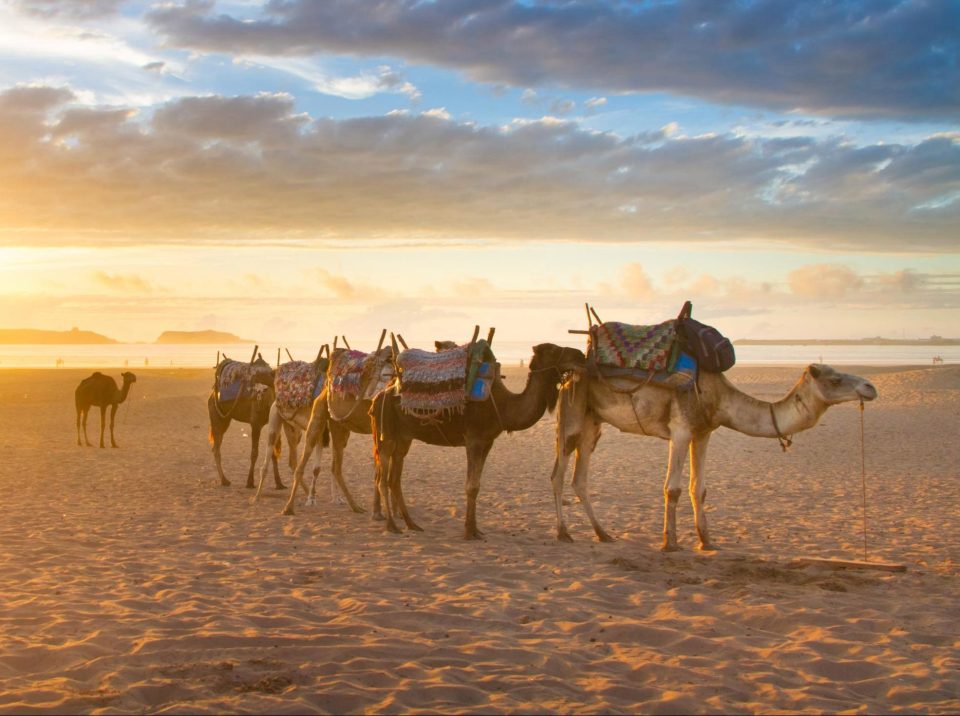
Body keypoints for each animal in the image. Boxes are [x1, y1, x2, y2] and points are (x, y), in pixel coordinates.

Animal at [205, 354, 276, 490]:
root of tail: (212, 394)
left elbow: (273, 452)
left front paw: (280, 484)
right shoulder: (256, 424)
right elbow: (254, 453)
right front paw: (250, 482)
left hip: (225, 419)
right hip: (217, 417)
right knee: (216, 448)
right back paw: (224, 480)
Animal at [264, 338, 396, 516]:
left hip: (334, 426)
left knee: (333, 466)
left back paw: (355, 506)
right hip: (315, 421)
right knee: (303, 463)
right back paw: (288, 507)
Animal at [374, 342, 584, 536]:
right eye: (553, 350)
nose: (580, 355)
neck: (504, 406)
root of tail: (379, 396)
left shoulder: (487, 442)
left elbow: (477, 485)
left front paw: (475, 529)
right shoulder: (473, 440)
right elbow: (471, 485)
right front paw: (469, 531)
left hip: (404, 437)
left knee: (394, 479)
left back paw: (412, 524)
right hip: (387, 434)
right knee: (382, 479)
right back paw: (392, 525)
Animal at [548, 360, 876, 552]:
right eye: (834, 379)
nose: (870, 387)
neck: (720, 398)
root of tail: (567, 376)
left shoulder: (703, 432)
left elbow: (699, 488)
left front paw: (707, 541)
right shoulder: (681, 428)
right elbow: (673, 488)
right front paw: (670, 543)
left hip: (593, 421)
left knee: (580, 478)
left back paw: (603, 534)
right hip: (572, 414)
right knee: (558, 473)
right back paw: (563, 533)